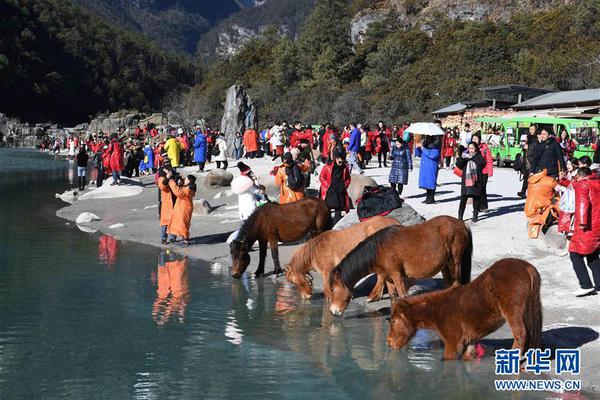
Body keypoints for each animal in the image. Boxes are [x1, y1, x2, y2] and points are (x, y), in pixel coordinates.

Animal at [326, 216, 472, 316]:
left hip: (455, 261)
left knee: (456, 283)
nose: (333, 311)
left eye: (332, 290)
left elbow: (402, 296)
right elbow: (393, 297)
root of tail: (461, 223)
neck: (379, 249)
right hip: (445, 265)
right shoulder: (388, 277)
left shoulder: (397, 276)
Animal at [386, 258, 540, 360]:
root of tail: (527, 267)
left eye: (393, 321)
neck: (437, 310)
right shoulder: (469, 342)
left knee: (521, 334)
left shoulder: (453, 343)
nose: (388, 343)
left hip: (513, 311)